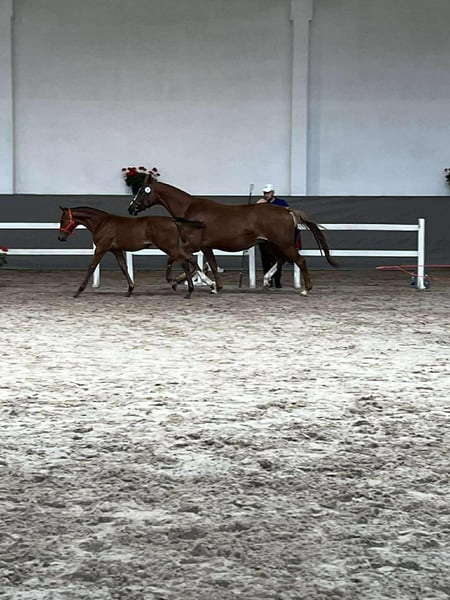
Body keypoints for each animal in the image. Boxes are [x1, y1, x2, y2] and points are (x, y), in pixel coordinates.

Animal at [58, 206, 216, 298]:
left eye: (63, 220)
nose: (61, 238)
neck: (102, 223)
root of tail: (172, 220)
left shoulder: (102, 248)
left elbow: (92, 266)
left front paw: (78, 291)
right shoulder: (116, 250)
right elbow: (123, 267)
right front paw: (130, 289)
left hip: (168, 246)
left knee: (184, 261)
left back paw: (189, 289)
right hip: (174, 246)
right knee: (189, 258)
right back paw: (204, 283)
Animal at [127, 177, 338, 295]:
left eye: (142, 191)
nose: (131, 208)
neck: (189, 210)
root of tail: (286, 210)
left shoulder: (192, 244)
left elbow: (176, 259)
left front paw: (178, 281)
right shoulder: (205, 246)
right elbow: (210, 265)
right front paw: (215, 286)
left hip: (283, 243)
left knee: (299, 260)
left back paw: (305, 289)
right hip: (270, 243)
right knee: (280, 260)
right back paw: (266, 280)